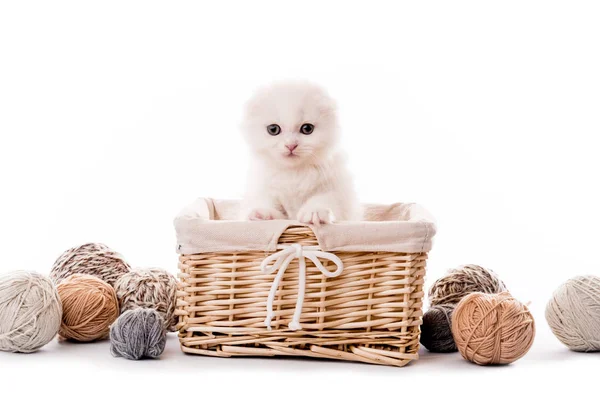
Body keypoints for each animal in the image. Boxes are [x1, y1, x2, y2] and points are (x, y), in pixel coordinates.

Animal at [241, 81, 358, 225]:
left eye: (307, 129)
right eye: (273, 129)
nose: (291, 145)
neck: (294, 173)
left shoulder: (337, 191)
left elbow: (324, 199)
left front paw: (315, 211)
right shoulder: (262, 190)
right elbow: (267, 204)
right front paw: (261, 213)